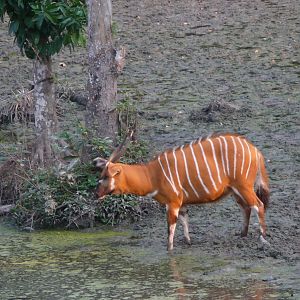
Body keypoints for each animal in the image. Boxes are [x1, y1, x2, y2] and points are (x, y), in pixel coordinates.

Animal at [93, 134, 270, 251]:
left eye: (106, 176)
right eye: (101, 175)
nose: (96, 194)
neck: (152, 174)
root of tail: (255, 150)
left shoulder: (173, 202)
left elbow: (170, 229)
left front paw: (169, 250)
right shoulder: (182, 203)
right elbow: (185, 221)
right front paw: (188, 242)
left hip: (244, 186)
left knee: (259, 205)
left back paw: (262, 237)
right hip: (234, 190)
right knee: (246, 208)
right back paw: (242, 235)